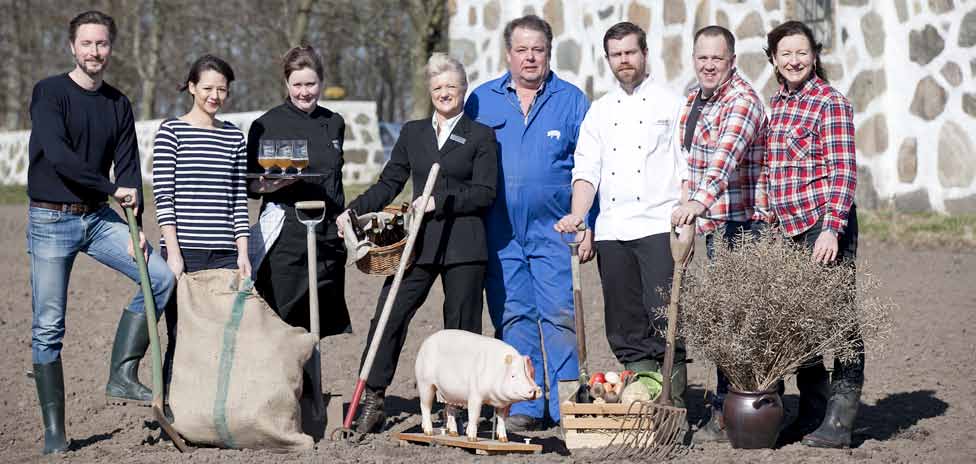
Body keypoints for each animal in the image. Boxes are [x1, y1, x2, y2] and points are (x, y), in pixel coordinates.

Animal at [416, 330, 544, 442]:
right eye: (513, 375)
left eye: (530, 375)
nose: (535, 389)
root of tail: (426, 342)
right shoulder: (474, 395)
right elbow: (475, 417)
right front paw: (472, 439)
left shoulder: (505, 404)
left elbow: (502, 419)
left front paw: (504, 440)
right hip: (425, 383)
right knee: (425, 406)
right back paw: (429, 432)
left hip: (450, 393)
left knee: (449, 410)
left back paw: (454, 434)